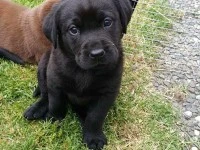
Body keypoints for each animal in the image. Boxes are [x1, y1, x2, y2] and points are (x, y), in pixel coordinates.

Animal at [24, 0, 138, 149]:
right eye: (73, 30)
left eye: (107, 22)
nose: (97, 53)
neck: (83, 70)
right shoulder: (55, 83)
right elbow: (55, 103)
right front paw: (54, 119)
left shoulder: (107, 93)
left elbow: (95, 116)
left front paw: (93, 137)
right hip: (43, 64)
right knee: (44, 94)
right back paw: (37, 109)